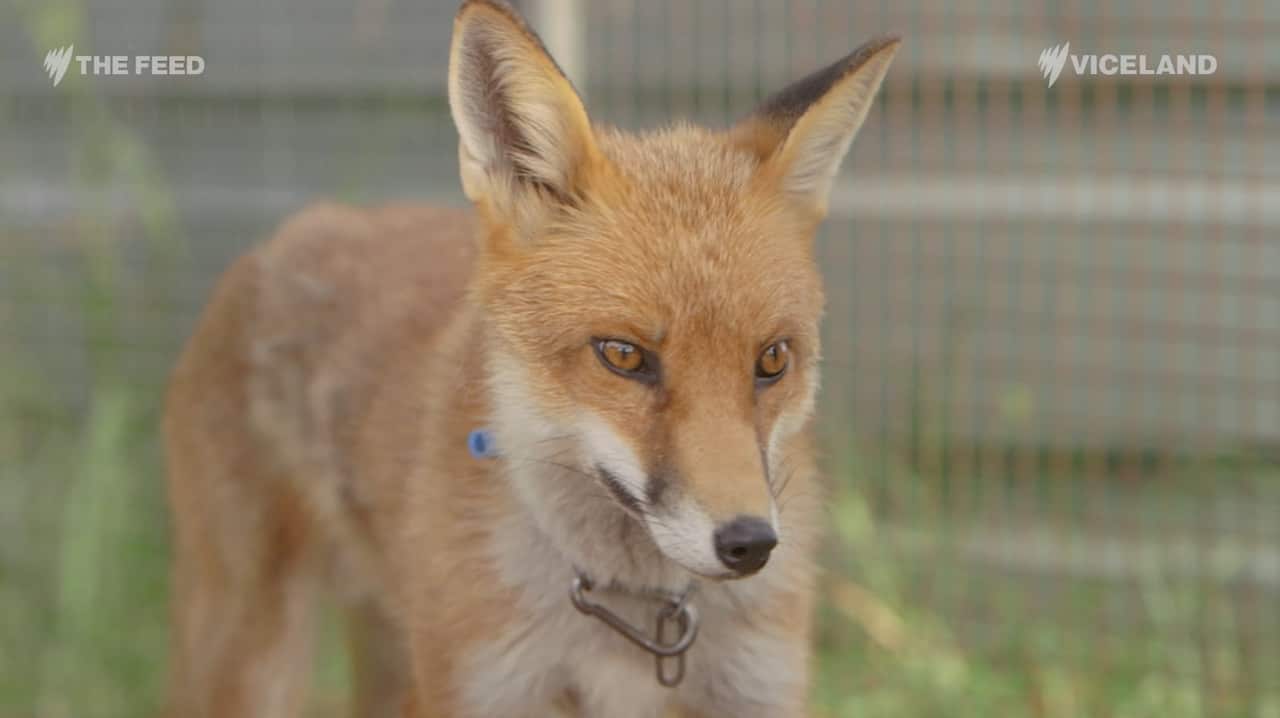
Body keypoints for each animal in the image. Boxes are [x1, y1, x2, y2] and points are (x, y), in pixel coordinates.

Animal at [162, 1, 899, 716]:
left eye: (772, 360)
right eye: (623, 355)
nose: (749, 544)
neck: (636, 617)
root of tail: (294, 229)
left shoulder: (757, 689)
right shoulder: (484, 687)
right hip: (253, 656)